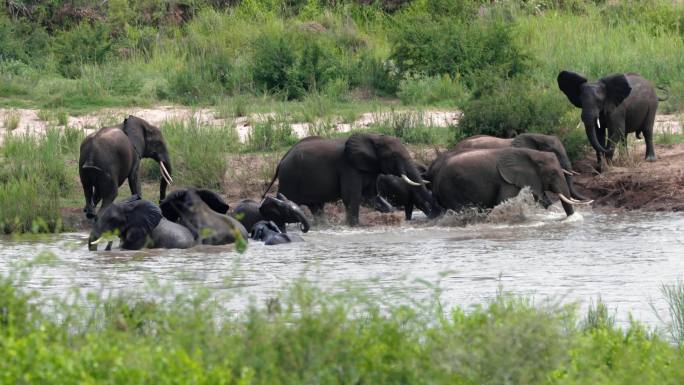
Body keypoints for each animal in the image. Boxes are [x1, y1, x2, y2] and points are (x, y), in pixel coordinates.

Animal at [262, 133, 438, 225]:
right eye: (394, 156)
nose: (434, 214)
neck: (373, 137)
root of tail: (281, 161)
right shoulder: (348, 167)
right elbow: (352, 197)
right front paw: (354, 225)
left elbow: (370, 197)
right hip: (290, 178)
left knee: (316, 206)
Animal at [430, 147, 592, 216]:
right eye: (552, 174)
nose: (570, 219)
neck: (532, 153)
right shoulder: (506, 180)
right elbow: (504, 200)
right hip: (450, 188)